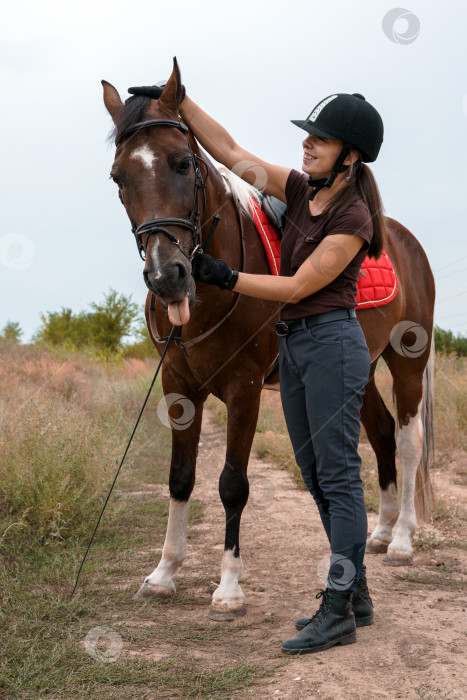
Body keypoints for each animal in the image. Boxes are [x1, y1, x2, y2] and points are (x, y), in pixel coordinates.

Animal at [101, 58, 436, 616]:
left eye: (183, 164)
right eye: (117, 177)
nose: (167, 276)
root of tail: (403, 238)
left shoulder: (245, 389)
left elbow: (232, 484)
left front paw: (229, 587)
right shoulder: (177, 386)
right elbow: (181, 477)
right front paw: (164, 573)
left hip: (407, 361)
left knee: (409, 442)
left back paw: (405, 540)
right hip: (363, 369)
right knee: (383, 434)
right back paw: (382, 532)